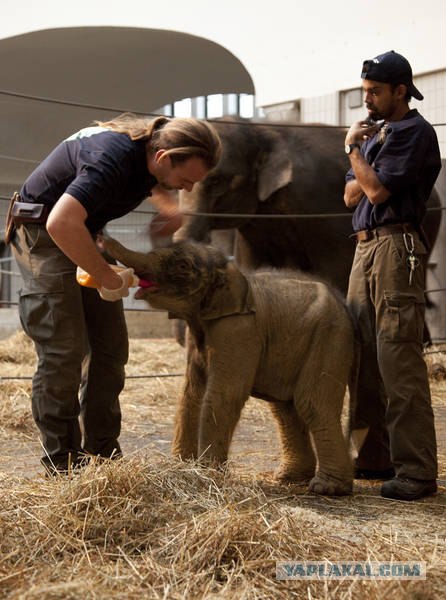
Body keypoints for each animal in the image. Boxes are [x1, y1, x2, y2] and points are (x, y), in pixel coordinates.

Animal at [101, 237, 356, 494]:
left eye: (183, 266)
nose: (102, 239)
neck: (230, 273)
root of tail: (342, 300)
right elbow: (192, 392)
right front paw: (182, 466)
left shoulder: (238, 329)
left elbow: (225, 394)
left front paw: (207, 473)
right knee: (285, 407)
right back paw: (289, 478)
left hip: (329, 338)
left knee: (311, 403)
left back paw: (327, 488)